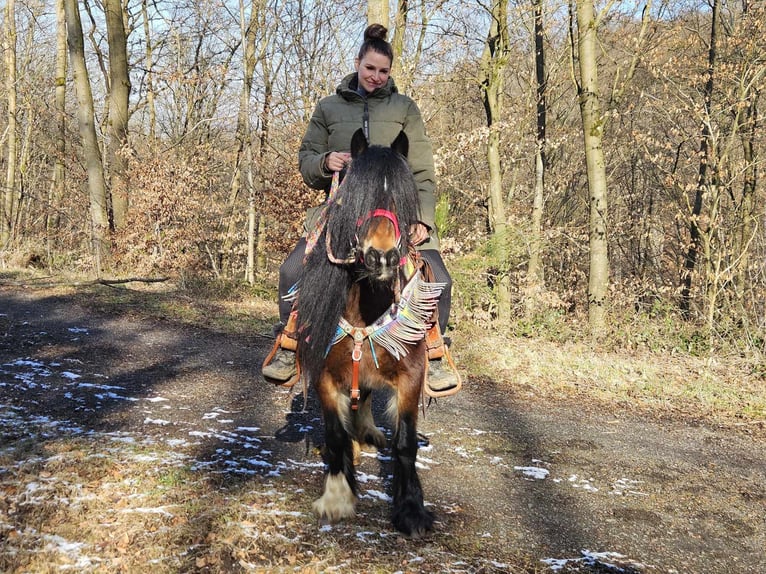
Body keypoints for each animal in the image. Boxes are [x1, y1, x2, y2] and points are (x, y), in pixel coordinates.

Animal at [298, 128, 448, 536]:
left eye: (401, 195)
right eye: (357, 196)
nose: (381, 256)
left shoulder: (411, 376)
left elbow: (405, 442)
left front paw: (411, 509)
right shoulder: (324, 374)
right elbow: (335, 435)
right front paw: (337, 496)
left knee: (364, 395)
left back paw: (368, 431)